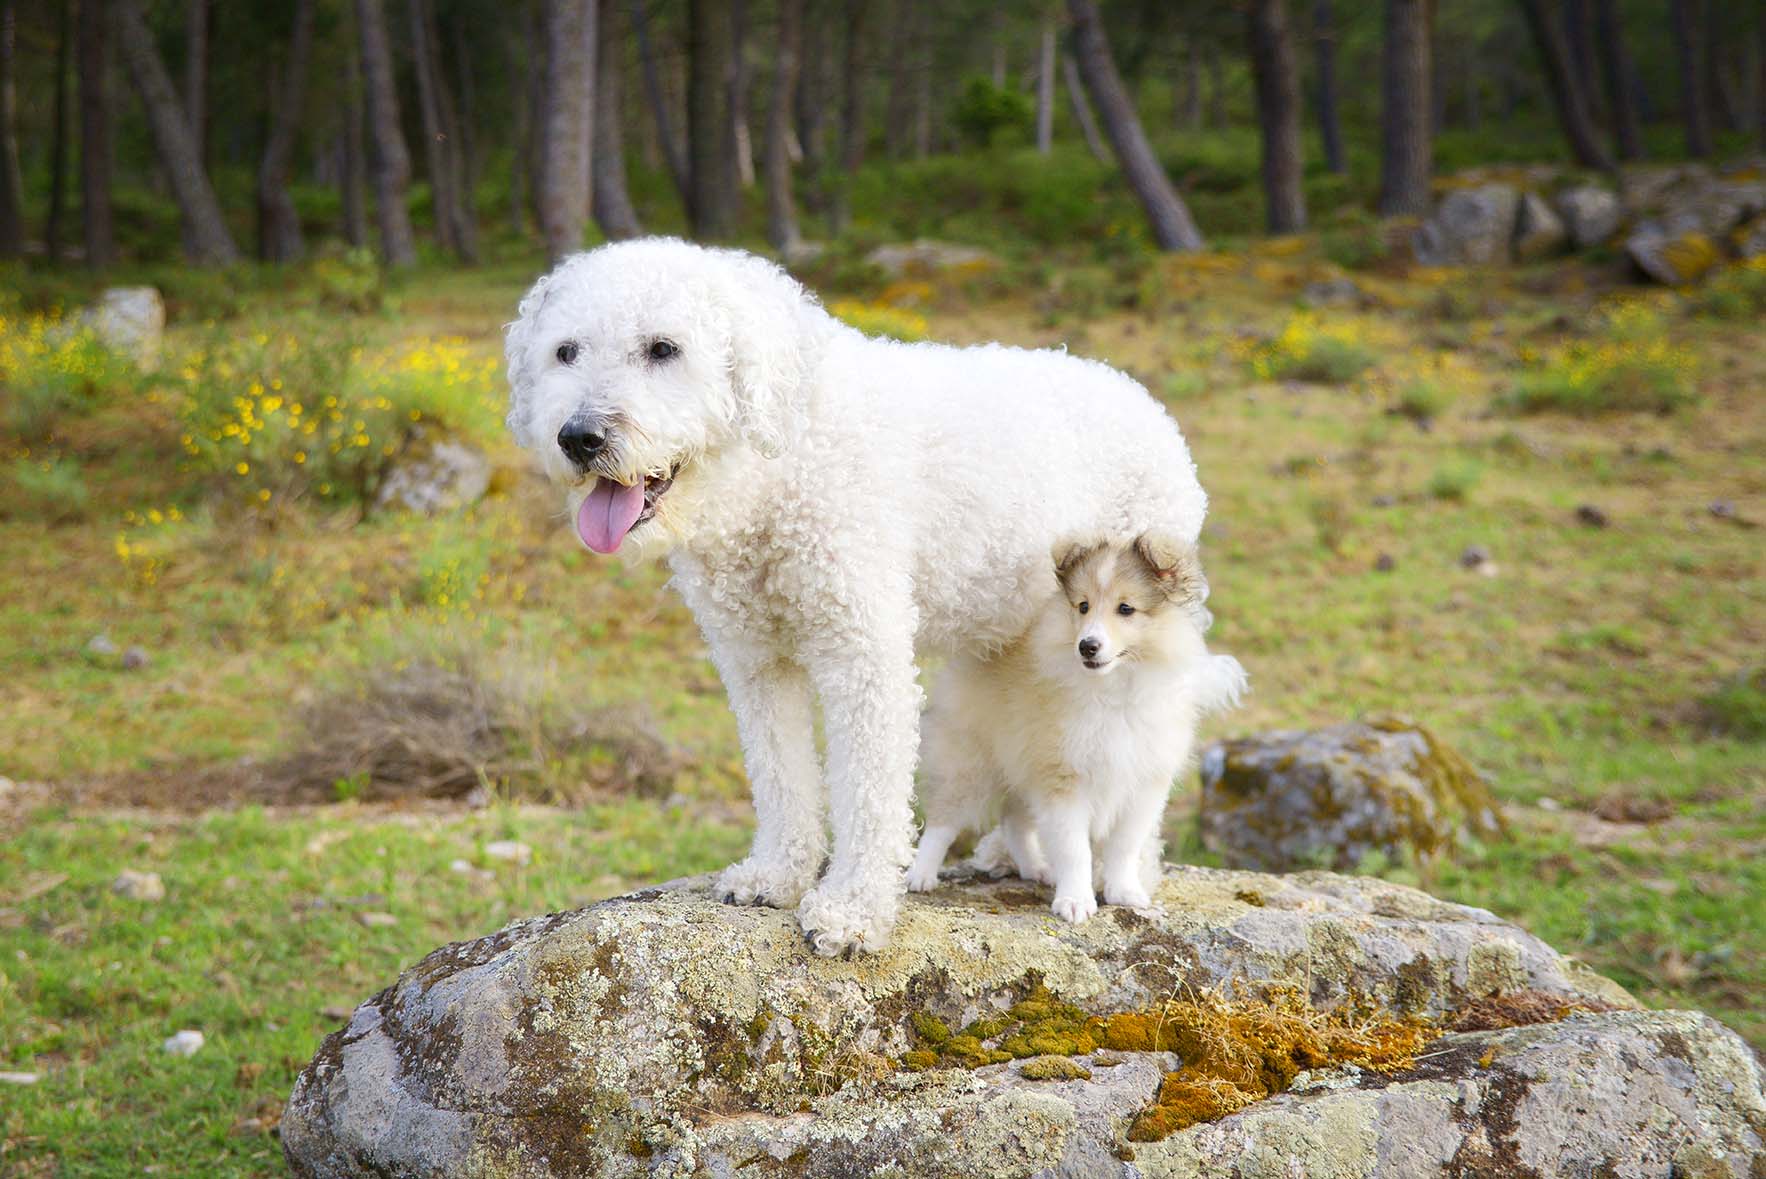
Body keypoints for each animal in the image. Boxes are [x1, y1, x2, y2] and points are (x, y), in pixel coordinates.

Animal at [505, 240, 1207, 960]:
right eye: (565, 351)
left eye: (663, 348)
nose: (579, 437)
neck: (780, 463)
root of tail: (1132, 390)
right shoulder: (754, 662)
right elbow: (781, 775)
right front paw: (776, 875)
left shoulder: (863, 654)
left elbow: (868, 792)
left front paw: (852, 912)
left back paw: (1128, 873)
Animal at [904, 533, 1250, 917]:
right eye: (1083, 606)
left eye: (1125, 608)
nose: (1087, 646)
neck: (1115, 692)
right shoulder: (1063, 778)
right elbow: (1074, 850)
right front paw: (1075, 902)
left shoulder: (1142, 785)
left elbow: (1123, 847)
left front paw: (1124, 892)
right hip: (969, 763)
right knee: (943, 821)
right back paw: (920, 876)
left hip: (1022, 765)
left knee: (1014, 821)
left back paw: (1036, 868)